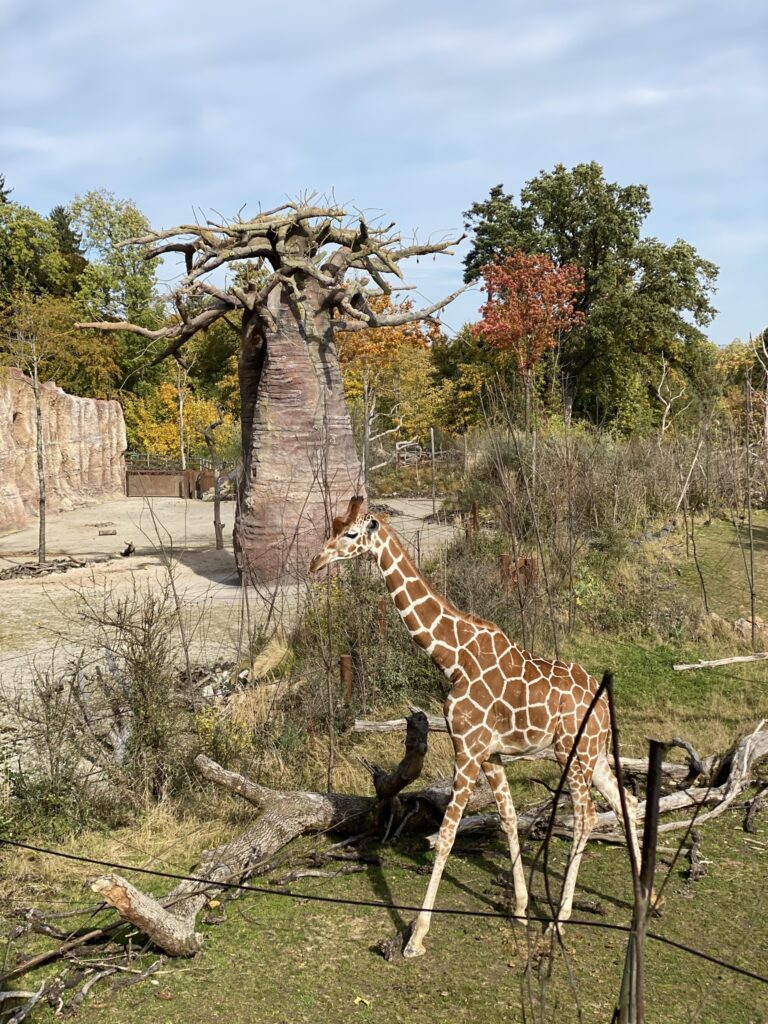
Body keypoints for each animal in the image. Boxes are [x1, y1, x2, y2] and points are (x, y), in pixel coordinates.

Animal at [310, 497, 645, 958]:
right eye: (332, 527)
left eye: (351, 534)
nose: (315, 562)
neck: (453, 658)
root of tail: (606, 706)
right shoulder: (491, 753)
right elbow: (507, 819)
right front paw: (520, 908)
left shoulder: (467, 749)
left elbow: (448, 834)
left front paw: (416, 937)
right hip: (593, 754)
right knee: (625, 801)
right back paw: (644, 902)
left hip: (572, 753)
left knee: (588, 816)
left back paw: (559, 921)